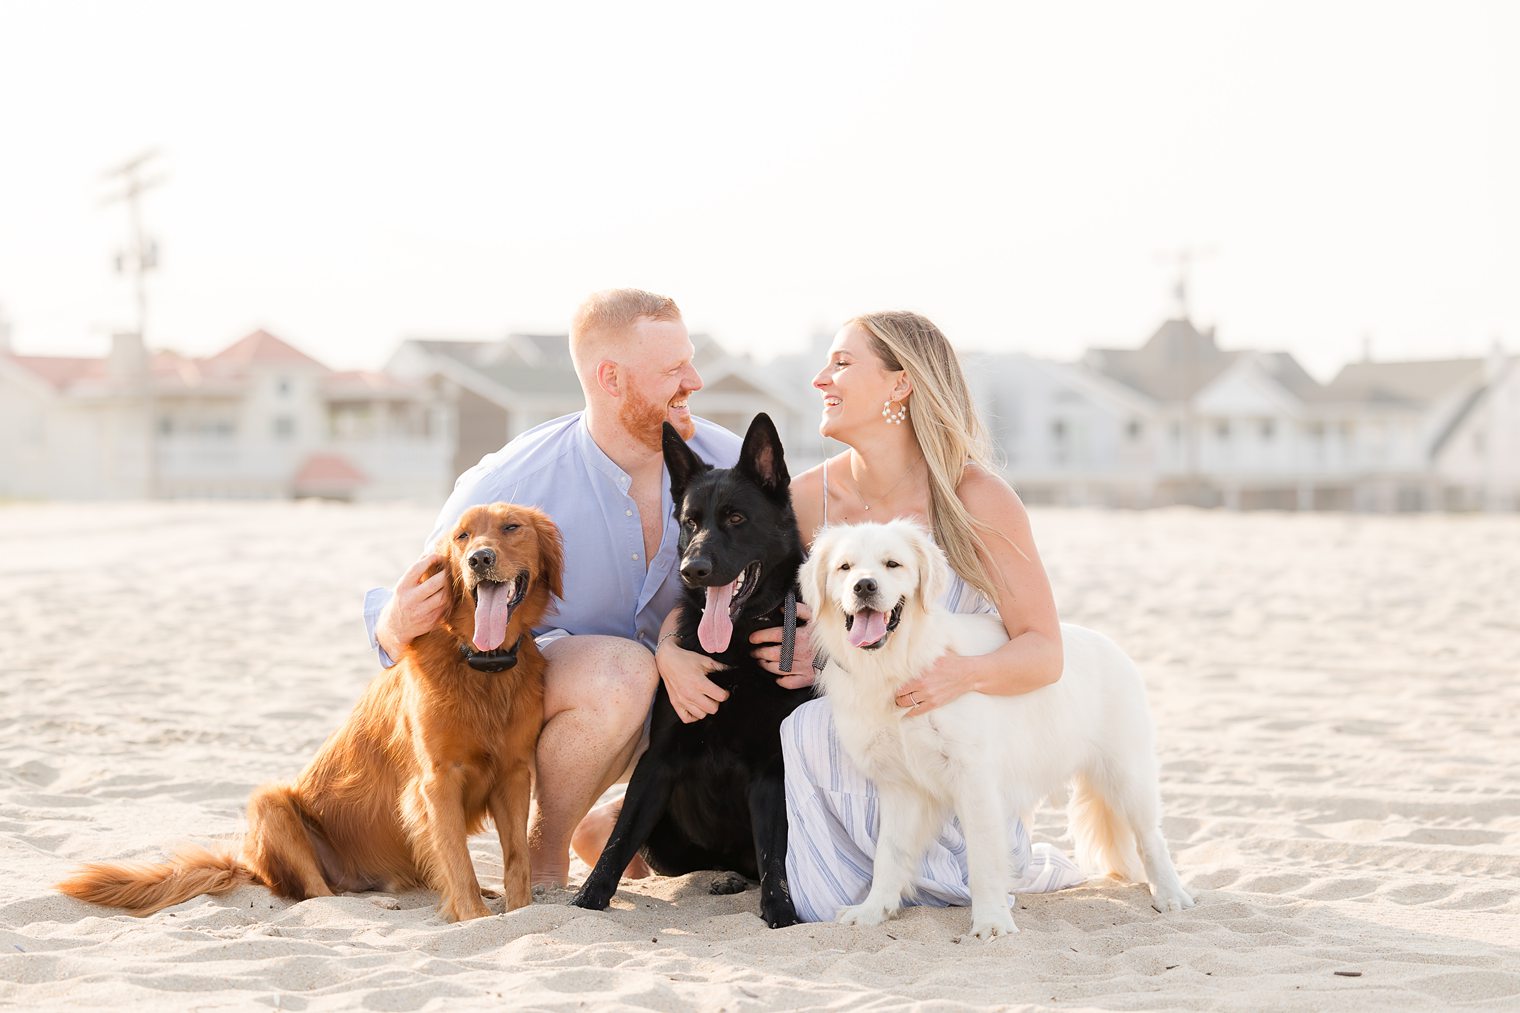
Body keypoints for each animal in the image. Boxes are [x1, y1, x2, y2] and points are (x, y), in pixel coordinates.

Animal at [802, 520, 1191, 936]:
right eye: (844, 568)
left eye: (893, 564)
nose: (864, 586)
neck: (899, 664)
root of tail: (1113, 647)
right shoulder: (901, 786)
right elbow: (889, 854)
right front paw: (874, 910)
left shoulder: (975, 778)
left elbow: (984, 858)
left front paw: (991, 921)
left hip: (1126, 775)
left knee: (1151, 837)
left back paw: (1171, 896)